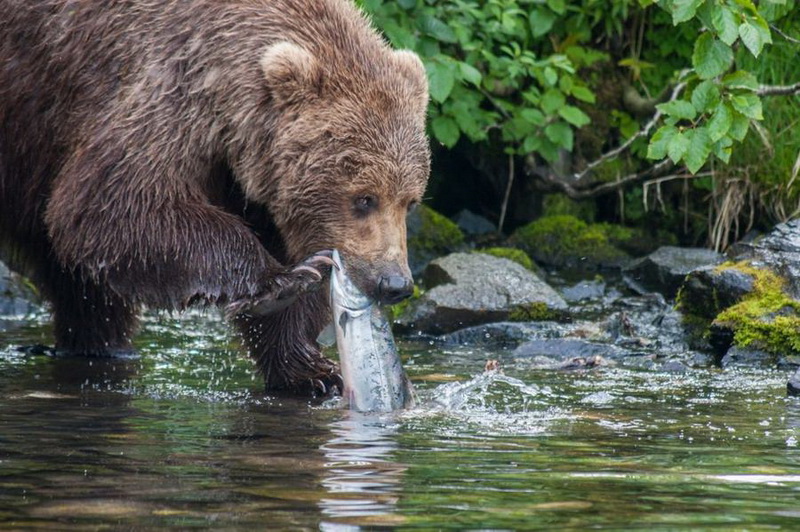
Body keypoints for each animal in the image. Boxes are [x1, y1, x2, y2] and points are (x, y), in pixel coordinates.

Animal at [0, 0, 432, 390]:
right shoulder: (164, 91)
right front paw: (283, 279)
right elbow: (114, 205)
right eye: (365, 198)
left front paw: (312, 369)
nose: (394, 283)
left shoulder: (250, 176)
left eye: (410, 201)